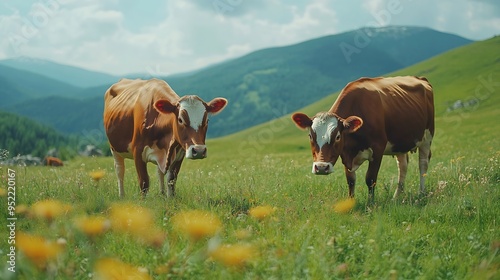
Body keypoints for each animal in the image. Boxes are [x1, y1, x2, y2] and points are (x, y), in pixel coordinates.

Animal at [292, 75, 434, 200]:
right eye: (310, 135)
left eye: (337, 136)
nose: (321, 167)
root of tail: (420, 78)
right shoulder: (345, 154)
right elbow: (351, 180)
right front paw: (350, 202)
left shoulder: (378, 149)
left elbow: (370, 179)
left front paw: (370, 204)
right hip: (400, 143)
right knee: (402, 166)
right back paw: (396, 197)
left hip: (427, 137)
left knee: (423, 165)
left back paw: (421, 193)